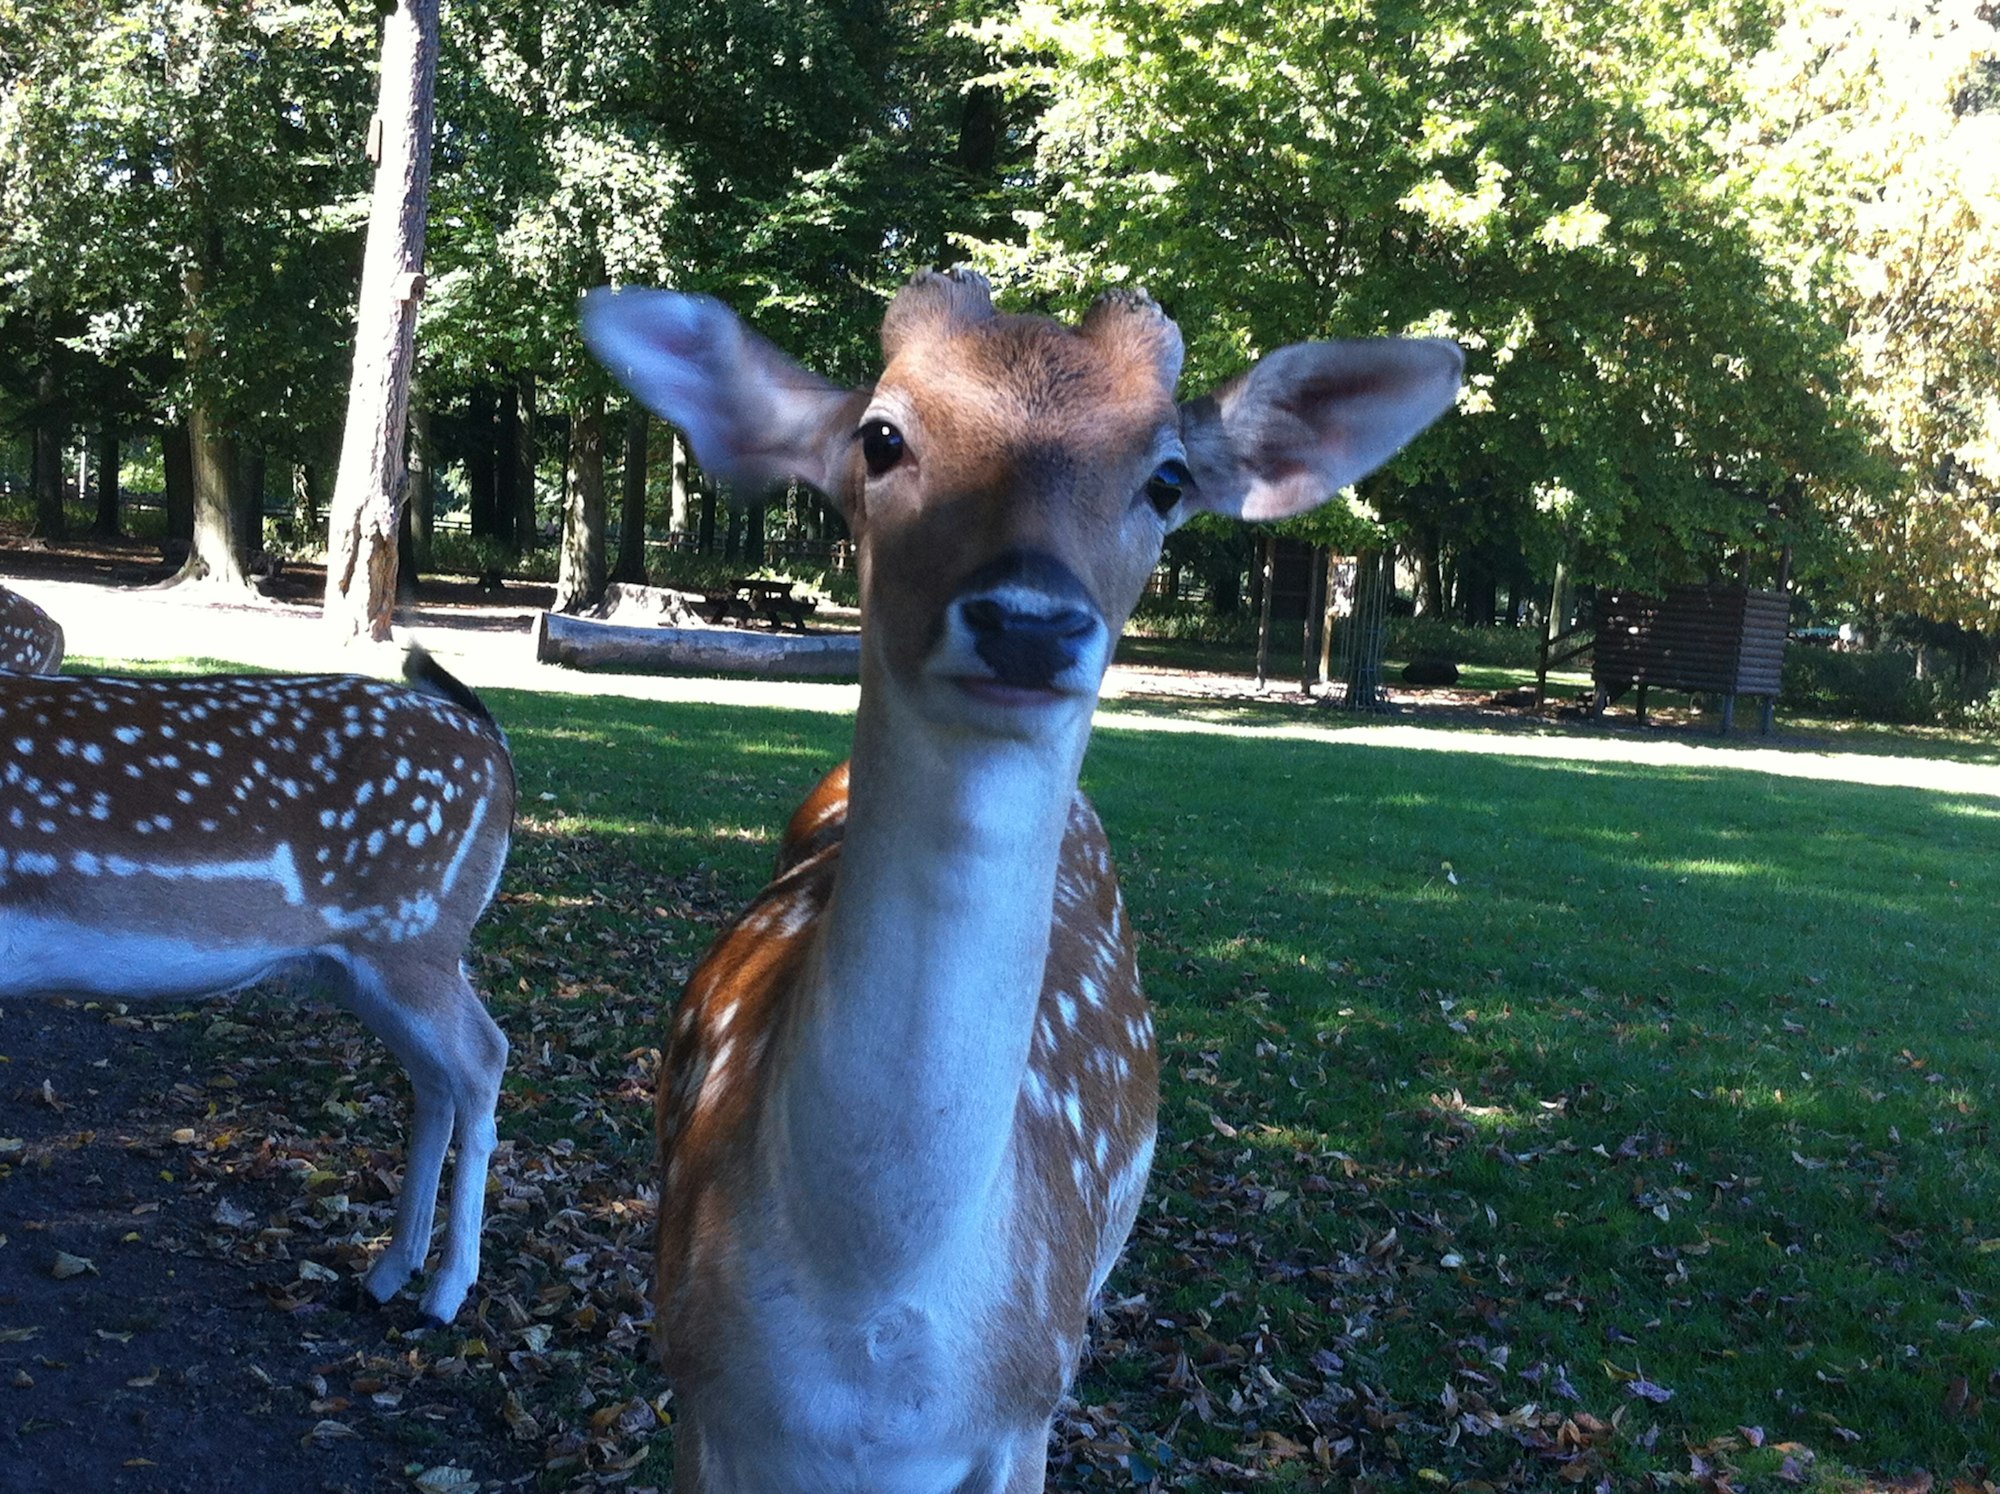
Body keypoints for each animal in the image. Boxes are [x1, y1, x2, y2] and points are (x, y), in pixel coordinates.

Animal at [0, 646, 515, 1325]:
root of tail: (493, 743)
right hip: (366, 965)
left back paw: (447, 1290)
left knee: (484, 1055)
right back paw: (389, 1272)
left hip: (413, 936)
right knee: (436, 1077)